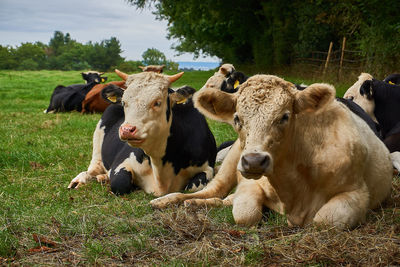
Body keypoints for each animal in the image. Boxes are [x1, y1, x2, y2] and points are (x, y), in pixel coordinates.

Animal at [67, 70, 217, 198]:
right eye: (124, 102)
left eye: (157, 102)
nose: (127, 130)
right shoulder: (122, 161)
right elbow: (120, 183)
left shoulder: (208, 166)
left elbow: (194, 186)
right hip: (98, 142)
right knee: (92, 169)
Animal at [152, 74, 392, 229]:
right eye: (237, 118)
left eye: (285, 116)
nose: (254, 161)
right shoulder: (249, 184)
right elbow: (245, 214)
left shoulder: (356, 194)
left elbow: (325, 220)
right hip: (232, 161)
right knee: (213, 191)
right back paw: (170, 200)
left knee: (223, 199)